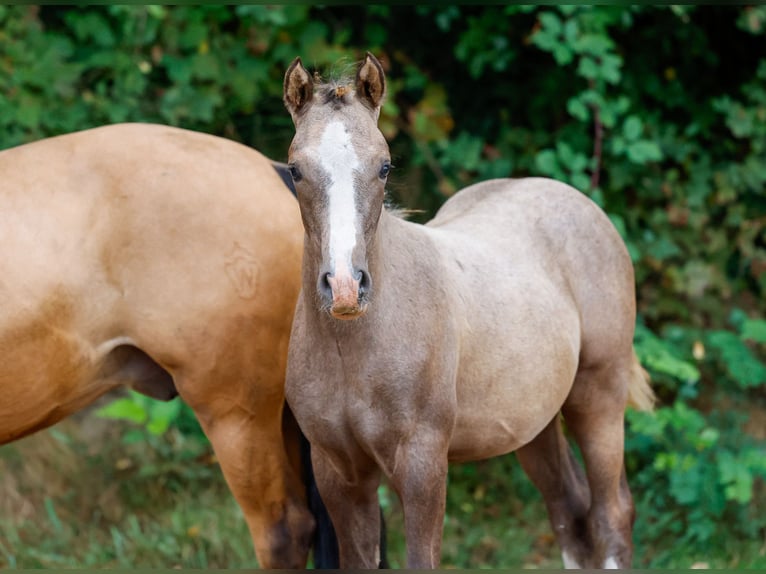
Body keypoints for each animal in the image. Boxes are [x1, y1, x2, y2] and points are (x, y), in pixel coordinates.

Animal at [284, 54, 656, 572]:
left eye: (384, 166)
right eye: (296, 170)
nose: (344, 287)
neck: (355, 351)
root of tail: (581, 203)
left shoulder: (423, 466)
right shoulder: (339, 473)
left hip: (598, 397)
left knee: (611, 514)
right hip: (535, 422)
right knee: (570, 511)